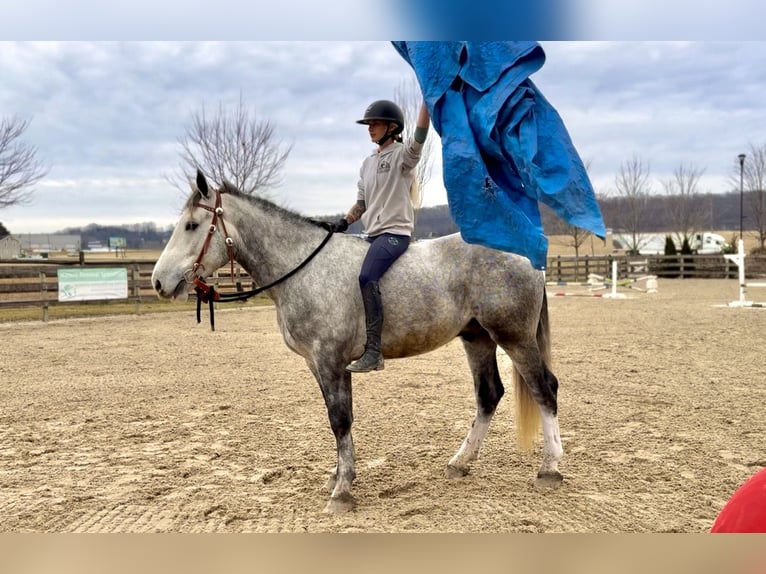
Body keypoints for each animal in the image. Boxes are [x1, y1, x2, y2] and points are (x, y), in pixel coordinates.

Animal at [152, 170, 564, 513]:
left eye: (191, 225)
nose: (158, 281)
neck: (305, 268)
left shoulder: (330, 360)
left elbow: (340, 420)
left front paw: (342, 491)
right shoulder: (319, 364)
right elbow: (338, 420)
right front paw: (338, 477)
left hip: (514, 337)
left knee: (544, 390)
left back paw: (549, 469)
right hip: (477, 338)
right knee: (488, 395)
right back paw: (460, 463)